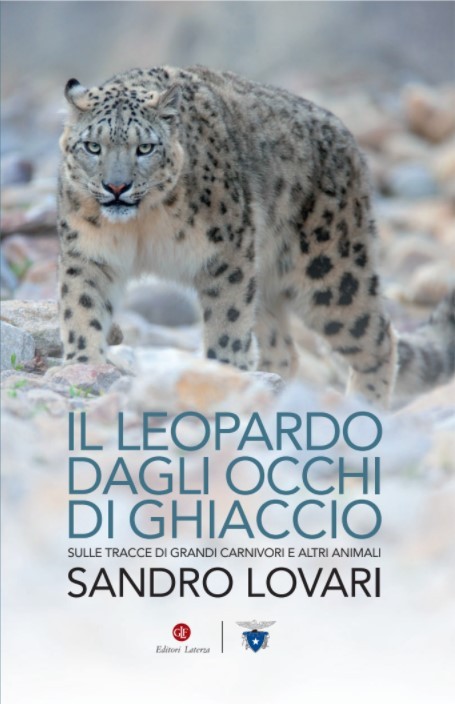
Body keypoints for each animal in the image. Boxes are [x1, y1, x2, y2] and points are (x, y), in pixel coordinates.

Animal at [57, 65, 455, 407]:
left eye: (145, 148)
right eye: (93, 146)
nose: (116, 187)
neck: (139, 226)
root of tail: (350, 142)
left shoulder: (225, 255)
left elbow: (227, 323)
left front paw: (223, 373)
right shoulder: (87, 255)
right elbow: (82, 307)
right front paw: (84, 364)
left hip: (331, 272)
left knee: (378, 337)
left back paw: (363, 407)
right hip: (262, 277)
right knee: (284, 349)